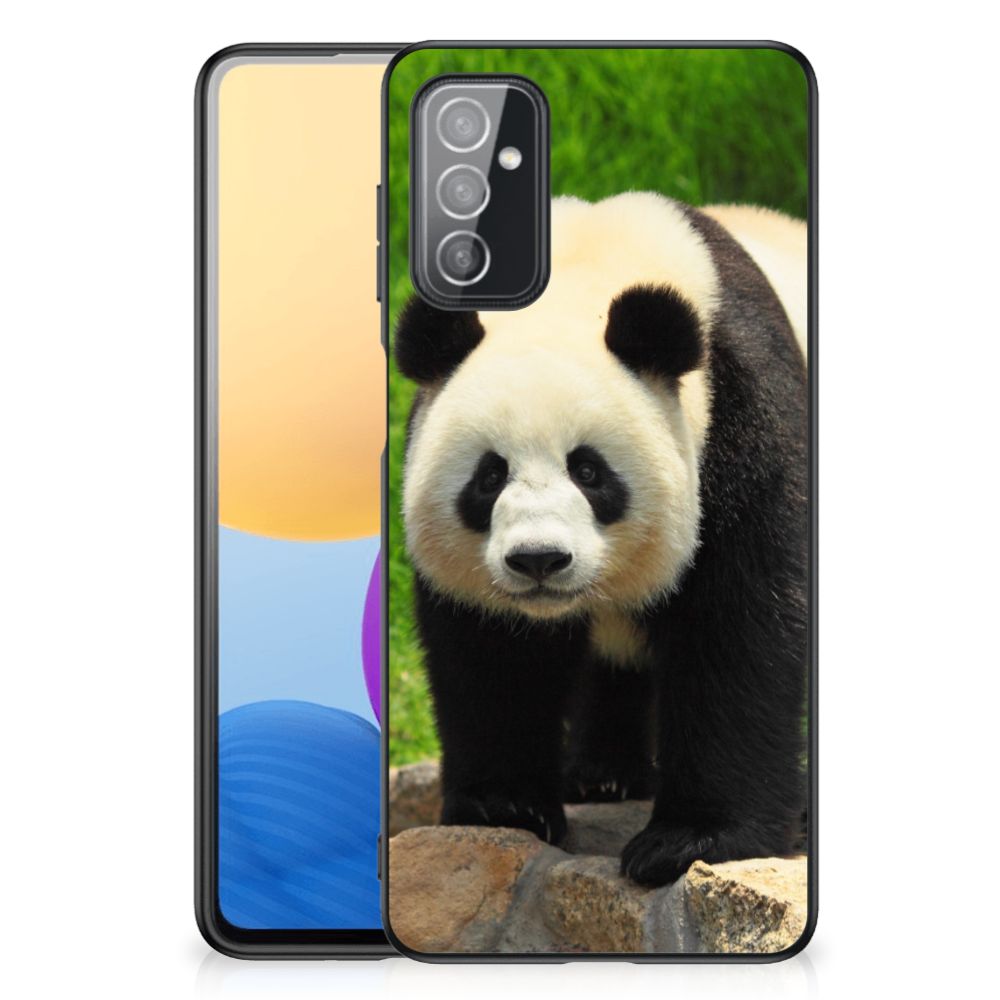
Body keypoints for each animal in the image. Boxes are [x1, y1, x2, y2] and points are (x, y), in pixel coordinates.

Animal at [393, 192, 808, 887]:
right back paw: (603, 776)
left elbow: (742, 626)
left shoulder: (743, 418)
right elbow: (491, 652)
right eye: (489, 476)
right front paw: (506, 807)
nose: (539, 560)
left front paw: (690, 840)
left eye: (588, 471)